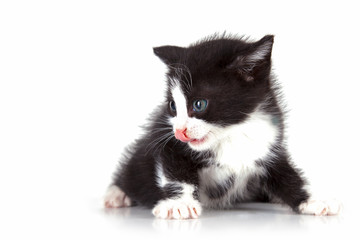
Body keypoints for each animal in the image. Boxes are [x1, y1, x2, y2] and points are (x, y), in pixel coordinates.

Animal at [103, 33, 340, 219]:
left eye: (199, 104)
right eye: (172, 106)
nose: (180, 132)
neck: (231, 133)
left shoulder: (270, 146)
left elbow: (288, 175)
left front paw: (313, 200)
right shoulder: (166, 141)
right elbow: (176, 172)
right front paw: (180, 204)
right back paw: (117, 194)